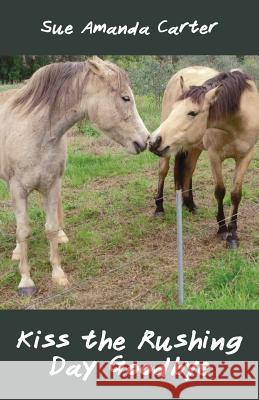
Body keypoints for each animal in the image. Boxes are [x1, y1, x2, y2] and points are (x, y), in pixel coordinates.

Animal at [149, 67, 258, 248]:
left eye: (192, 113)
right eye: (174, 108)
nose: (153, 141)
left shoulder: (245, 157)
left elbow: (236, 194)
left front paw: (233, 235)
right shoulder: (214, 156)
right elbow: (220, 191)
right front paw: (222, 230)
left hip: (194, 146)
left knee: (188, 169)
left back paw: (190, 205)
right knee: (163, 171)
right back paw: (159, 208)